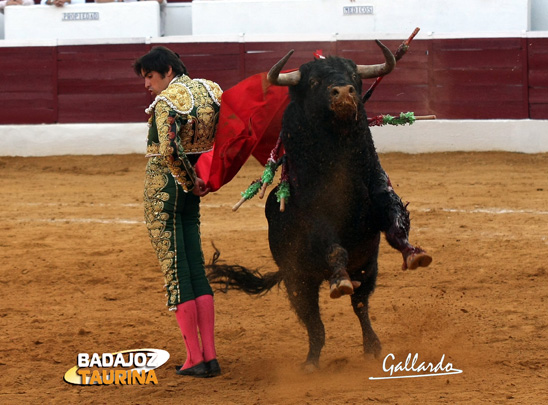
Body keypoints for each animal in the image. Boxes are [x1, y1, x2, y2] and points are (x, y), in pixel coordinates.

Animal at [208, 41, 426, 370]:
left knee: (360, 306)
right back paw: (312, 359)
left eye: (354, 76)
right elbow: (334, 248)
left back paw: (372, 346)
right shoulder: (314, 223)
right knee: (314, 322)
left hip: (366, 271)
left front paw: (415, 253)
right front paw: (340, 279)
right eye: (313, 82)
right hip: (298, 281)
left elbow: (396, 225)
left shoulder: (381, 196)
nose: (344, 92)